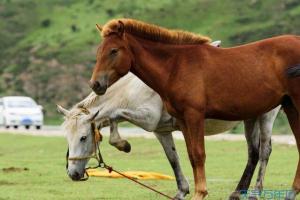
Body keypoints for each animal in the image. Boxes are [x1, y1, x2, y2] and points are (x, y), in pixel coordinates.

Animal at [58, 69, 282, 199]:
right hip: (250, 119)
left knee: (264, 152)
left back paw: (255, 192)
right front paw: (182, 191)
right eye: (67, 138)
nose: (73, 174)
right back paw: (238, 192)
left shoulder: (148, 119)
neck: (133, 89)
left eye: (83, 137)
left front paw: (123, 144)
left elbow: (115, 114)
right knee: (253, 153)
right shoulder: (161, 130)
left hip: (266, 117)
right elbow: (173, 159)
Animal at [89, 18, 300, 199]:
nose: (95, 84)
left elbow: (199, 155)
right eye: (98, 51)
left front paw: (200, 193)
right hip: (288, 108)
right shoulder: (183, 120)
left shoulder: (194, 116)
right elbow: (190, 155)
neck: (176, 66)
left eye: (114, 50)